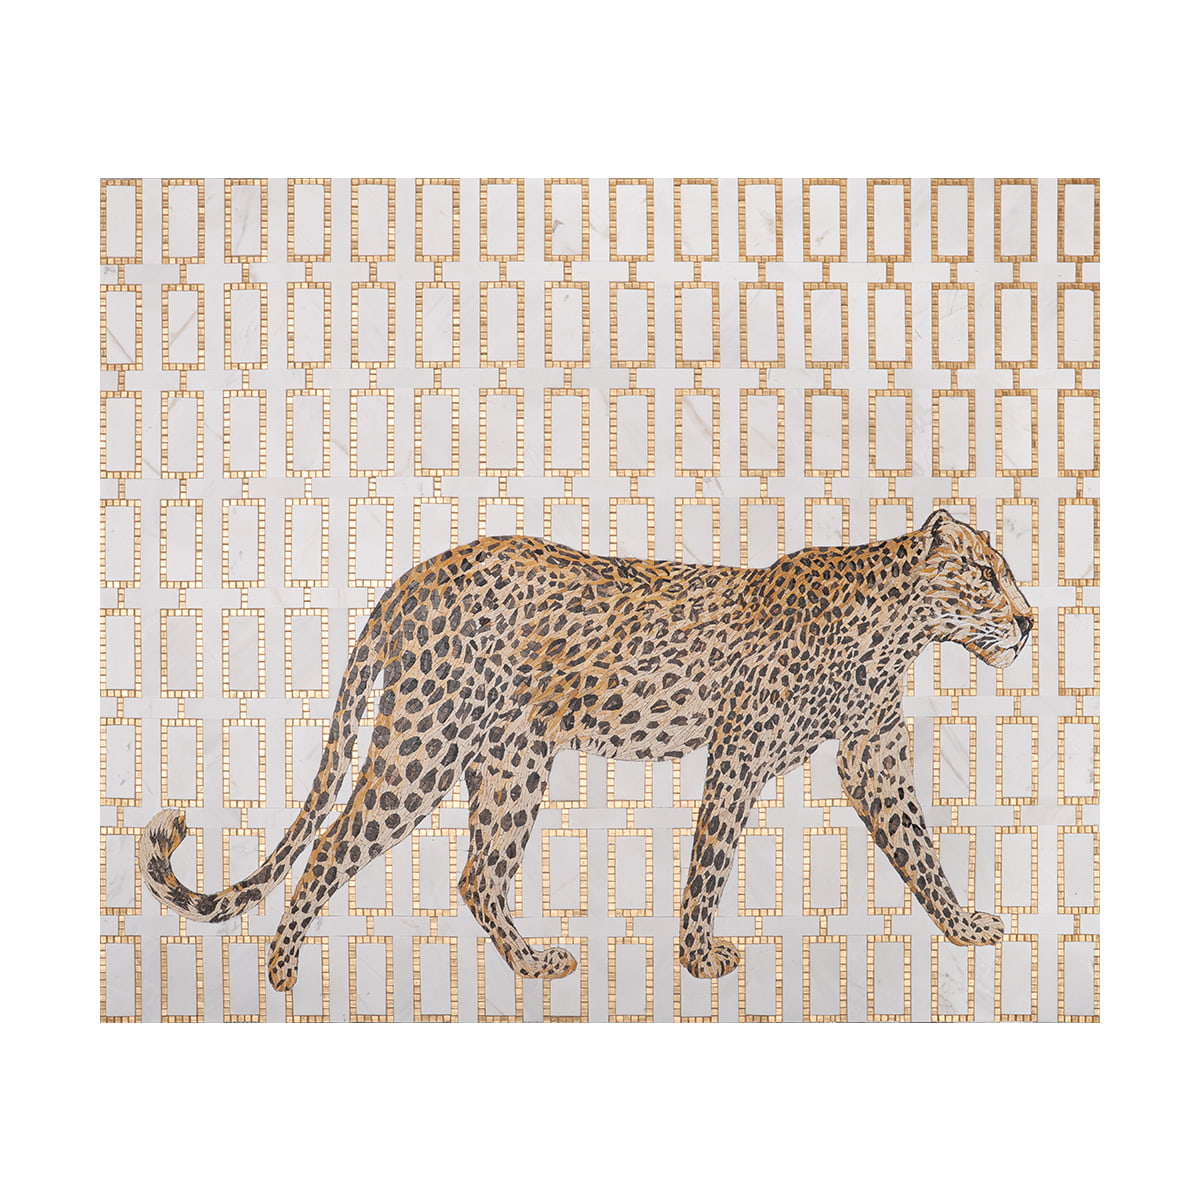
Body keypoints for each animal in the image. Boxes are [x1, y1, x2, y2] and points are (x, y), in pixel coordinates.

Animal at [139, 508, 1033, 991]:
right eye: (986, 576)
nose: (1028, 622)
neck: (898, 634)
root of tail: (414, 577)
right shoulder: (740, 752)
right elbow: (712, 861)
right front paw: (699, 956)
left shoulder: (871, 756)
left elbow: (919, 846)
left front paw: (963, 926)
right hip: (425, 743)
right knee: (331, 847)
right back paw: (283, 974)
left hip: (512, 762)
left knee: (479, 875)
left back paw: (532, 966)